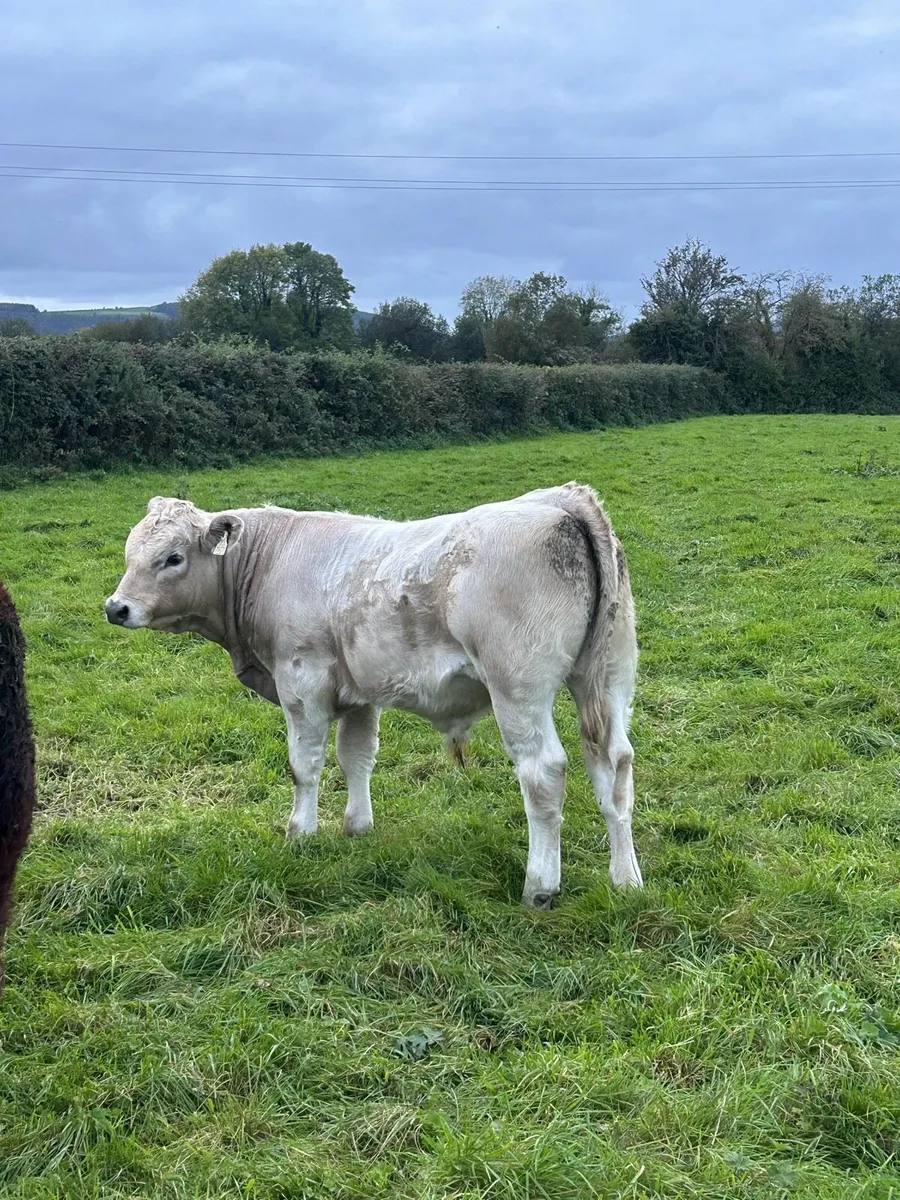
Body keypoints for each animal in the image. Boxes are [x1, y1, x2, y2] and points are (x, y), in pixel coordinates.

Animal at [106, 483, 642, 906]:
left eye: (172, 558)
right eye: (130, 552)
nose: (116, 607)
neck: (268, 562)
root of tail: (560, 499)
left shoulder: (301, 684)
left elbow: (305, 765)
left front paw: (300, 835)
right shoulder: (359, 693)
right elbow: (356, 757)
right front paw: (357, 828)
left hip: (518, 688)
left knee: (544, 773)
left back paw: (540, 886)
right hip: (608, 679)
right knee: (613, 766)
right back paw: (625, 879)